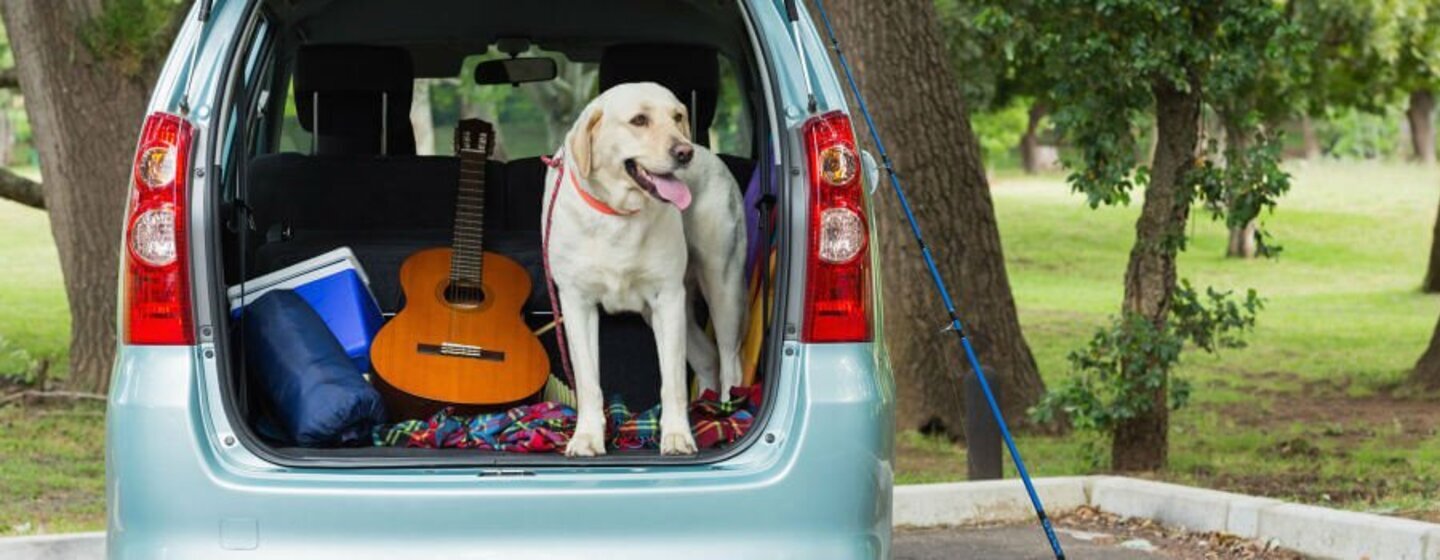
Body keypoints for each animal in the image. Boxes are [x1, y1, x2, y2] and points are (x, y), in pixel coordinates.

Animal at [544, 82, 748, 454]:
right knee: (709, 358)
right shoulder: (576, 303)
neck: (617, 213)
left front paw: (677, 435)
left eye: (678, 116)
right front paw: (587, 437)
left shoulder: (666, 297)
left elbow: (673, 381)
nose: (684, 153)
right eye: (639, 120)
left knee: (730, 361)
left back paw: (726, 413)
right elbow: (588, 380)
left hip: (722, 286)